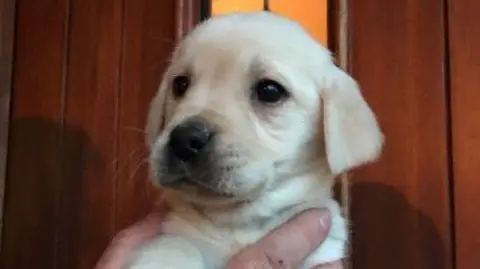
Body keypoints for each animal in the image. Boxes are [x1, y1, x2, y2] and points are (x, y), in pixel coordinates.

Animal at [127, 11, 382, 266]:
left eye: (269, 91)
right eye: (180, 84)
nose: (183, 139)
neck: (238, 223)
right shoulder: (177, 231)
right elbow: (176, 246)